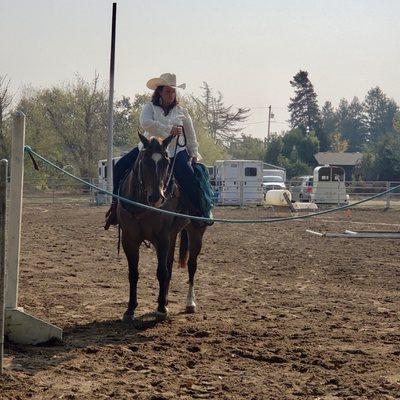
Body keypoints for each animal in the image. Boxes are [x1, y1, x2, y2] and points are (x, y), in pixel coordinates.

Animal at [116, 134, 208, 322]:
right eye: (144, 161)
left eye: (166, 162)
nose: (157, 197)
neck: (141, 206)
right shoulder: (129, 239)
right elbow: (133, 273)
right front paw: (130, 309)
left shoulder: (162, 239)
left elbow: (161, 272)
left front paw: (160, 310)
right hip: (173, 236)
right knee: (171, 267)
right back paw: (165, 300)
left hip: (195, 233)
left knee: (191, 265)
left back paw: (190, 303)